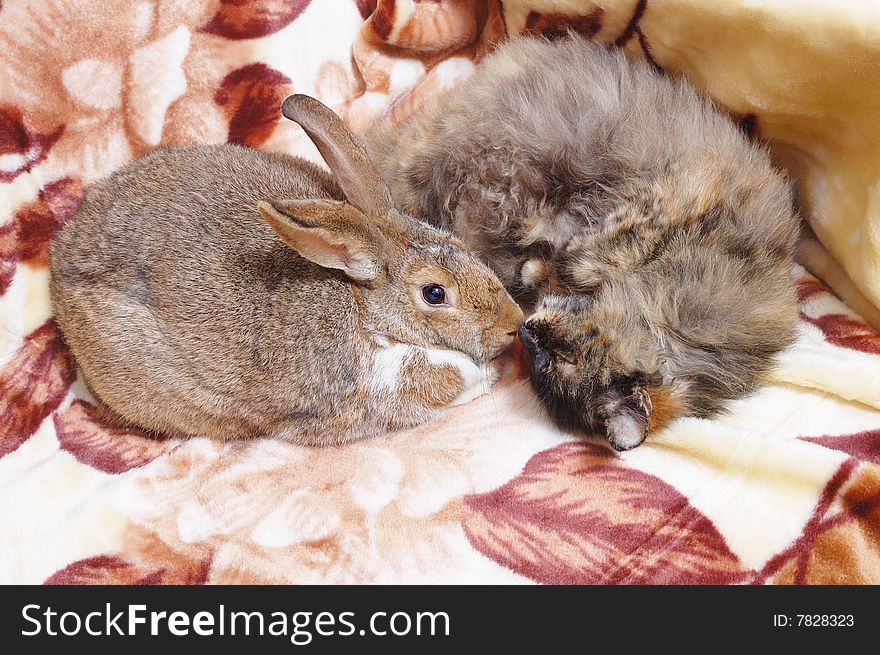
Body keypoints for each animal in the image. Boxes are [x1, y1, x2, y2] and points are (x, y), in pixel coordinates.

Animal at [48, 93, 524, 446]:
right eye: (434, 293)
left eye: (460, 244)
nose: (514, 323)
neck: (365, 310)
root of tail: (58, 263)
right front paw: (485, 378)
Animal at [368, 36, 800, 452]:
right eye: (563, 350)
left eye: (547, 363)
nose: (526, 333)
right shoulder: (681, 191)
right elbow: (587, 254)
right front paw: (561, 262)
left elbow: (553, 262)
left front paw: (537, 268)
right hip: (440, 149)